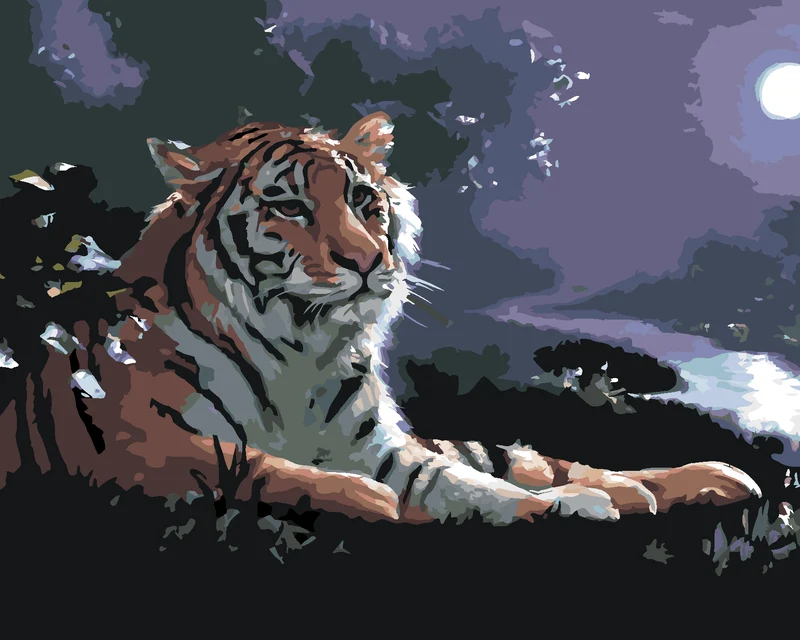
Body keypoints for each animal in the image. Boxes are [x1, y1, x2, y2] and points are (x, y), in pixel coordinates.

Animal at [0, 111, 761, 529]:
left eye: (365, 201)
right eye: (290, 207)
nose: (369, 261)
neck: (299, 349)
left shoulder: (383, 447)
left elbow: (468, 482)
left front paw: (570, 506)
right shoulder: (148, 448)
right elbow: (269, 470)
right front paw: (370, 502)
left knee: (521, 456)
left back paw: (706, 480)